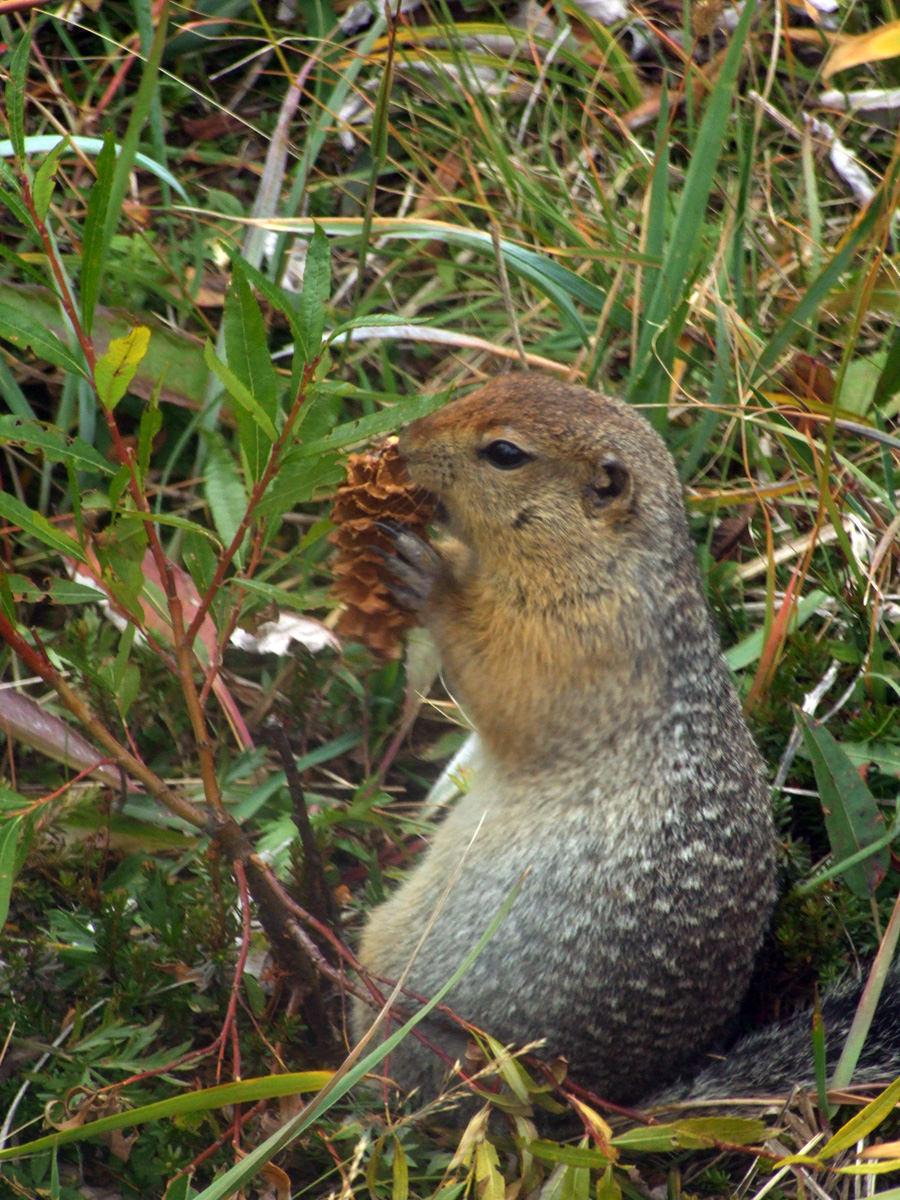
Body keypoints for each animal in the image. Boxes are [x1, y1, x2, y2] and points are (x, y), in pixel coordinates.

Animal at [348, 374, 777, 1104]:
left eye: (505, 453)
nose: (405, 443)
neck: (605, 561)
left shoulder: (574, 635)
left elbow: (496, 667)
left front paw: (427, 571)